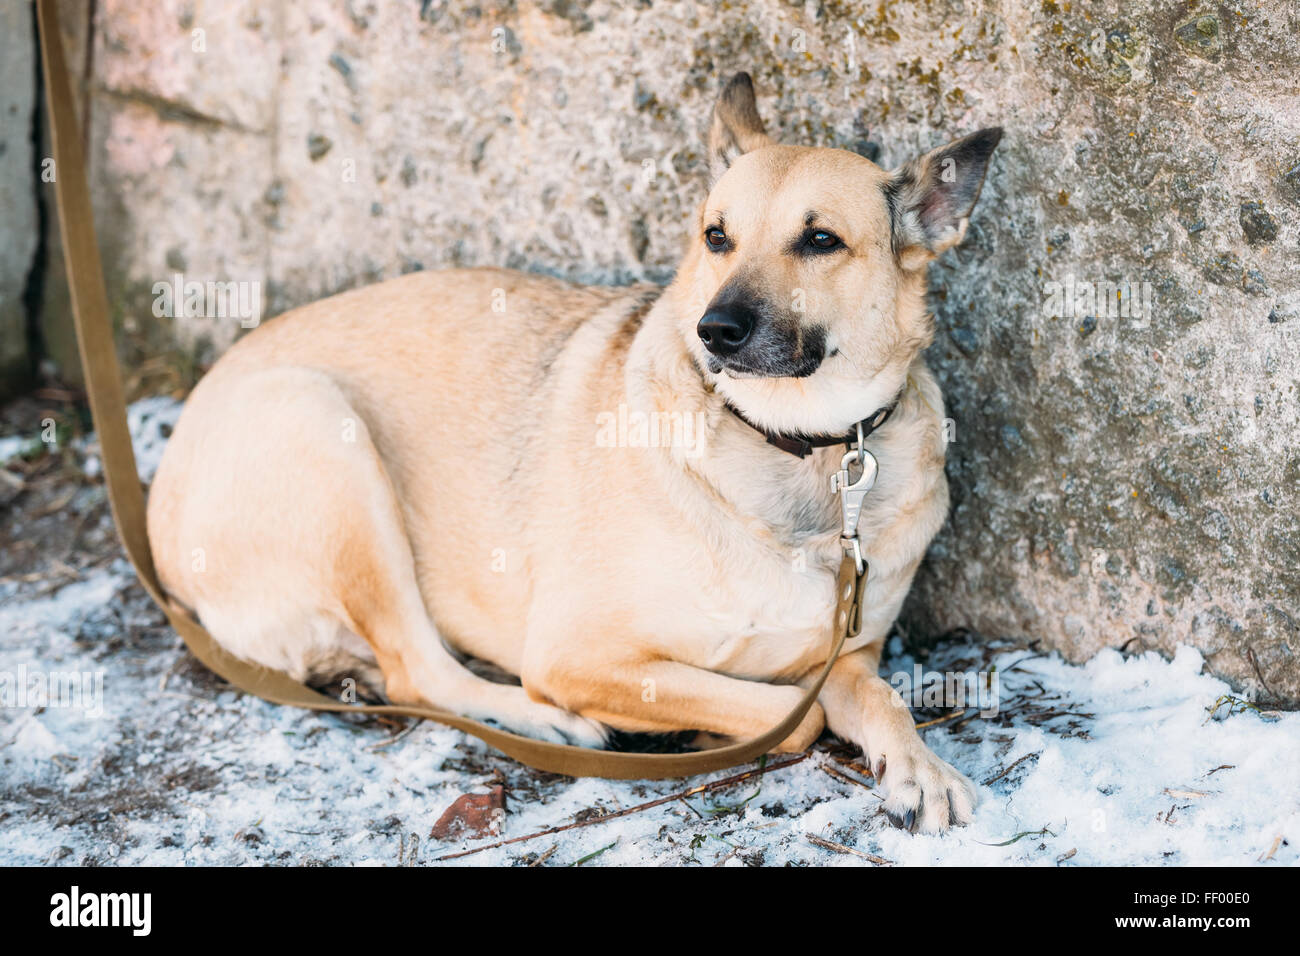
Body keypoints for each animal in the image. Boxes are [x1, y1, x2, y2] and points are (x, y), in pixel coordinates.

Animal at [152, 72, 1003, 832]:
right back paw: (542, 719)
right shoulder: (576, 654)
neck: (797, 447)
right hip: (321, 428)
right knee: (416, 669)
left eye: (821, 240)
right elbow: (793, 711)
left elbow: (876, 695)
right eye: (716, 236)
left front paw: (918, 767)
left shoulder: (854, 651)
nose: (715, 330)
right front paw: (705, 724)